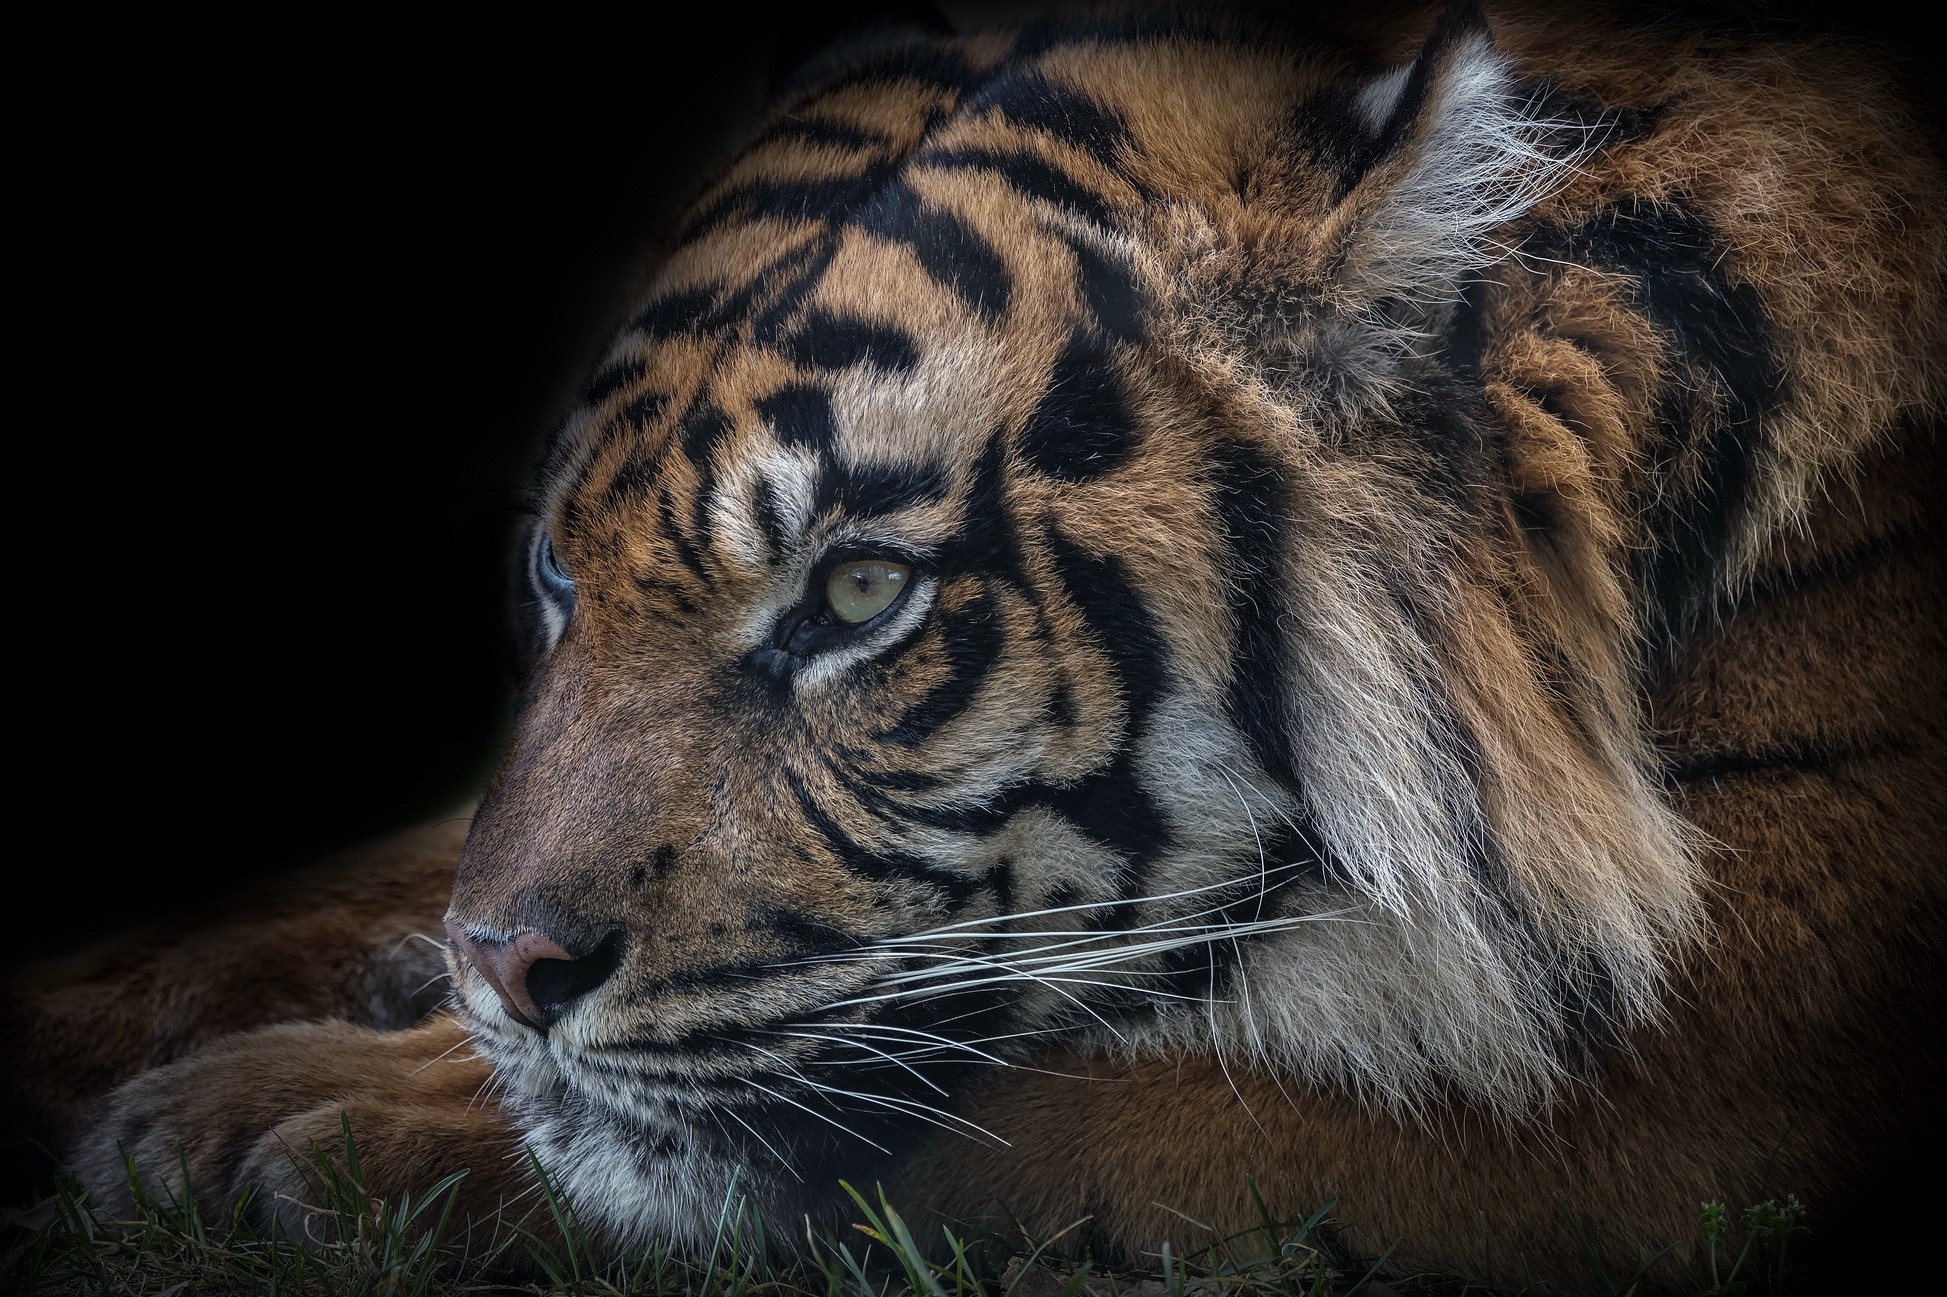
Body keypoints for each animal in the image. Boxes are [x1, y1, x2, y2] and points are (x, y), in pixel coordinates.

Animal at [5, 0, 1943, 1289]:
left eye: (861, 597)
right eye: (559, 571)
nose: (500, 971)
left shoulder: (1686, 1066)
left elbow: (998, 1107)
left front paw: (284, 1126)